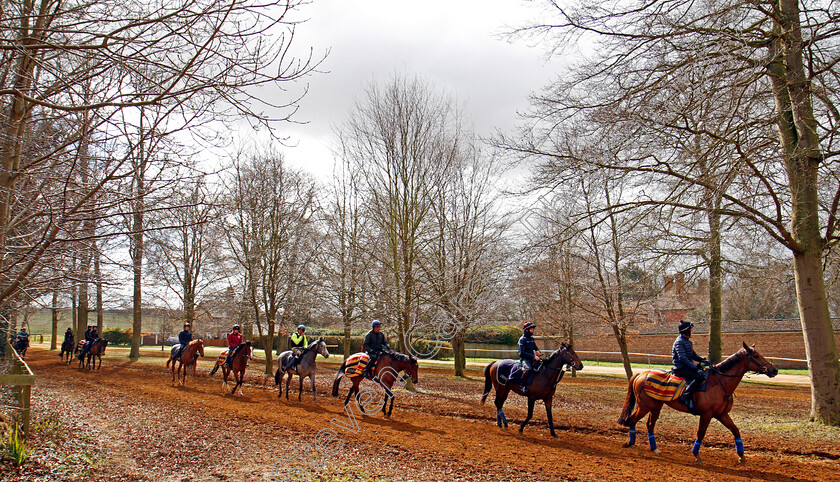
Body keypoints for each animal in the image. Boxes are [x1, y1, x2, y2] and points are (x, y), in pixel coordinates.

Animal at [616, 340, 780, 466]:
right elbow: (701, 433)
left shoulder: (722, 414)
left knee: (650, 425)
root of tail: (641, 374)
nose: (774, 370)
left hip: (656, 406)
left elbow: (736, 431)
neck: (719, 382)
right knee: (632, 420)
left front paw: (742, 456)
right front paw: (696, 455)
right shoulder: (706, 414)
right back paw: (630, 443)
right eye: (756, 356)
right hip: (645, 406)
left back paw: (655, 449)